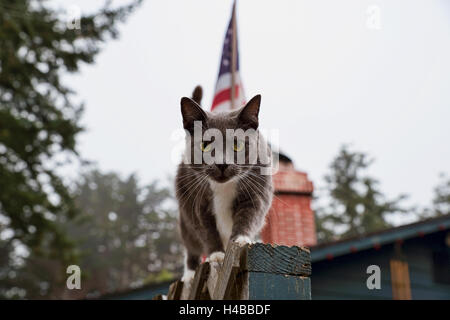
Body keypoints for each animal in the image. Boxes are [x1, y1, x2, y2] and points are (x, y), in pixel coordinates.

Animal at [176, 87, 274, 282]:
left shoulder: (257, 190)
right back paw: (190, 274)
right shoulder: (197, 199)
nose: (222, 164)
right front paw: (216, 255)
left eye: (237, 145)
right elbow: (205, 228)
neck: (223, 187)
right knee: (190, 244)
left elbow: (249, 214)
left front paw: (241, 240)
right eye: (205, 145)